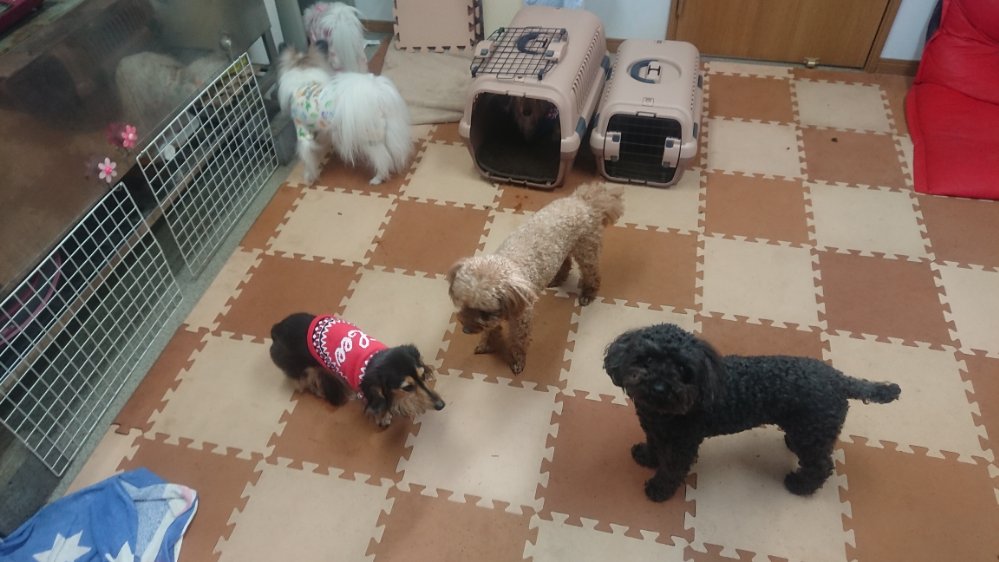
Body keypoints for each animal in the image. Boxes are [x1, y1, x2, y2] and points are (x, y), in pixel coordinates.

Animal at [270, 312, 445, 428]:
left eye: (422, 375)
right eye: (407, 387)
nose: (441, 405)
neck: (374, 360)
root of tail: (276, 329)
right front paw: (384, 417)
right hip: (302, 369)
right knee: (305, 381)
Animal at [277, 45, 412, 185]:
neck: (304, 78)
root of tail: (377, 95)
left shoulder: (302, 132)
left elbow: (308, 159)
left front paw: (309, 177)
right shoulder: (322, 130)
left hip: (368, 139)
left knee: (383, 158)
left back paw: (377, 178)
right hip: (389, 131)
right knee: (394, 150)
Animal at [448, 184, 624, 374]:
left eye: (484, 312)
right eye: (464, 305)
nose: (466, 330)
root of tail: (583, 200)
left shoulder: (522, 319)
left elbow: (518, 342)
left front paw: (517, 361)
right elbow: (491, 330)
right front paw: (487, 344)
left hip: (586, 249)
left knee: (592, 273)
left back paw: (588, 293)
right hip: (562, 249)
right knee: (566, 262)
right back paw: (557, 278)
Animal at [603, 323, 901, 502]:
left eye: (682, 369)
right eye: (647, 359)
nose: (659, 386)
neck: (662, 413)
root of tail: (840, 380)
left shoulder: (682, 444)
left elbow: (671, 469)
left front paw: (659, 489)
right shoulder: (655, 430)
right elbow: (654, 447)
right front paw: (646, 456)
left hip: (811, 434)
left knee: (821, 466)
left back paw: (799, 485)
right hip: (808, 431)